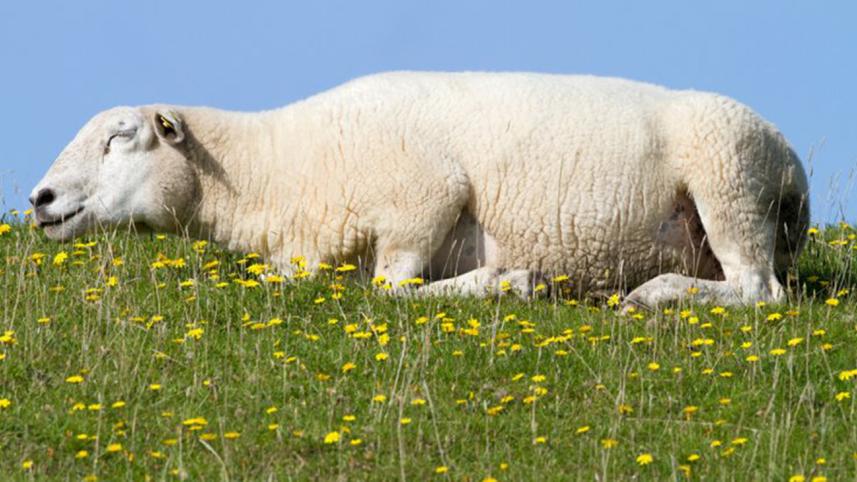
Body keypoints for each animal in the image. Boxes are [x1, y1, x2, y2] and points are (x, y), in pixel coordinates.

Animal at [30, 71, 809, 307]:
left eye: (121, 135)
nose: (39, 201)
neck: (281, 165)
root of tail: (788, 154)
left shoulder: (425, 201)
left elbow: (391, 290)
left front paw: (506, 281)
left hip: (728, 182)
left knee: (758, 291)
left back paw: (653, 295)